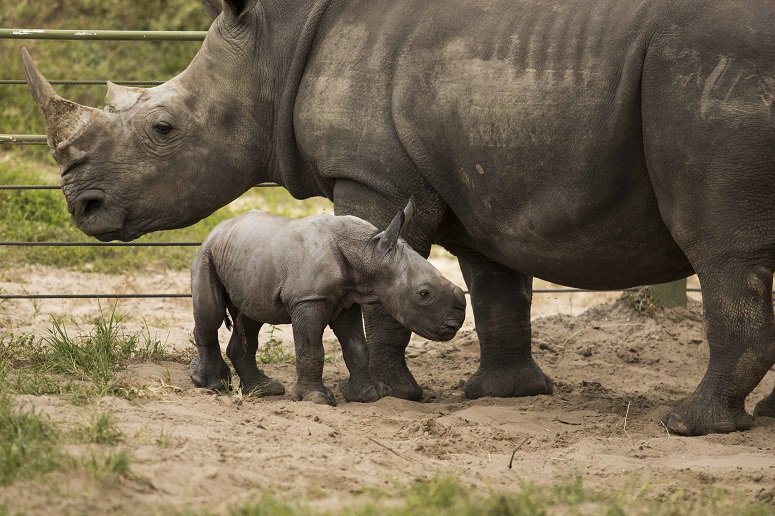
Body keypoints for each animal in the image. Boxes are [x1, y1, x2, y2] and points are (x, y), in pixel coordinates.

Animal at [189, 200, 466, 405]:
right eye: (424, 294)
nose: (454, 324)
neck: (369, 251)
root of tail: (219, 228)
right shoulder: (308, 299)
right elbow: (312, 349)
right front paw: (317, 399)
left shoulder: (348, 299)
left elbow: (357, 347)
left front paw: (369, 395)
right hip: (206, 254)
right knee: (212, 316)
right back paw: (213, 385)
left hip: (247, 257)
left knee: (250, 319)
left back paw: (264, 390)